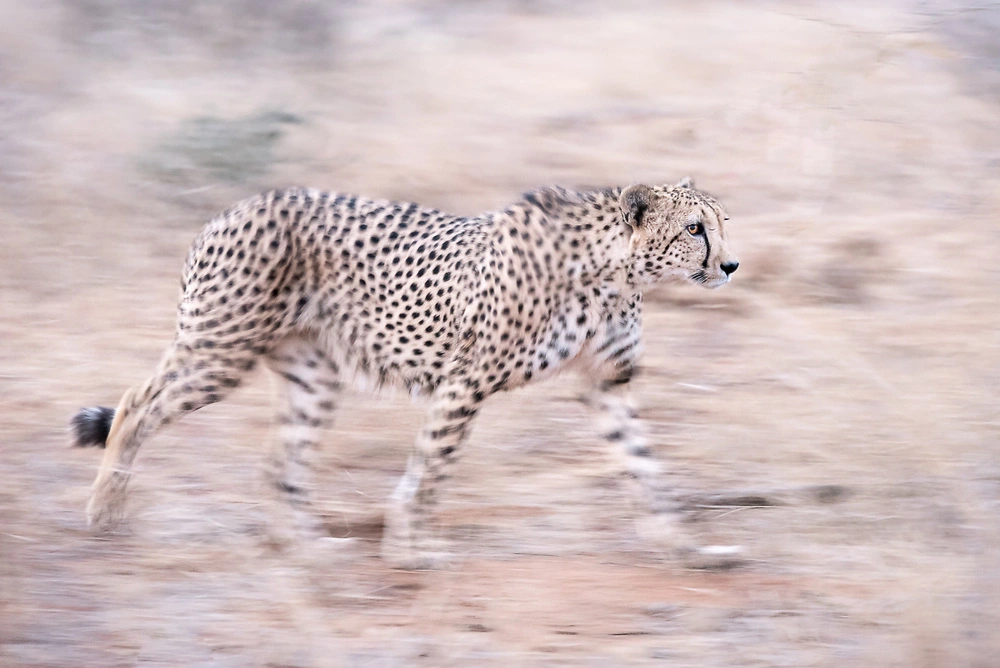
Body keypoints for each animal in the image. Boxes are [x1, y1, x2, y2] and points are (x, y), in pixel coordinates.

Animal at [72, 179, 736, 568]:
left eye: (722, 223)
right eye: (694, 228)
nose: (731, 265)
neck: (614, 272)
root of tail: (235, 206)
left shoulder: (606, 384)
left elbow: (645, 465)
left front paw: (687, 545)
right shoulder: (467, 382)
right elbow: (432, 469)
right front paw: (412, 550)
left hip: (311, 378)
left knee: (280, 460)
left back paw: (308, 546)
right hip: (220, 351)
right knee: (135, 402)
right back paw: (104, 510)